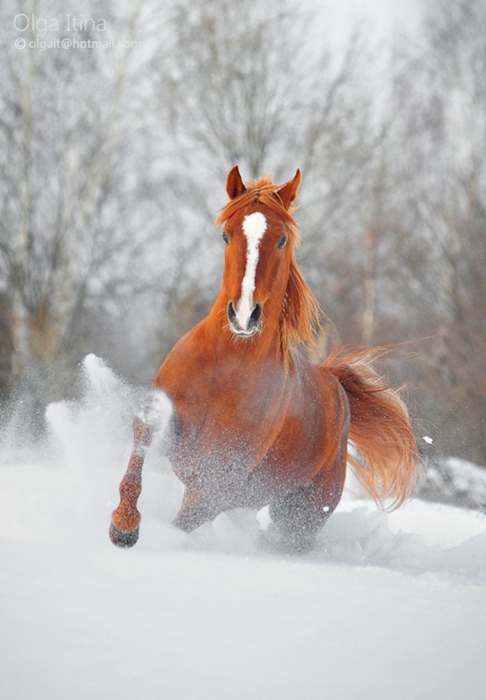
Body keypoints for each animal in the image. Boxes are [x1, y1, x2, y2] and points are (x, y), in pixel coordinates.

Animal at [108, 165, 420, 552]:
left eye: (282, 239)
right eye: (226, 236)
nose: (244, 316)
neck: (226, 367)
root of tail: (337, 388)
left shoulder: (218, 481)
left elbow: (182, 521)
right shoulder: (168, 425)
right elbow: (141, 443)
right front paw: (123, 526)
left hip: (300, 517)